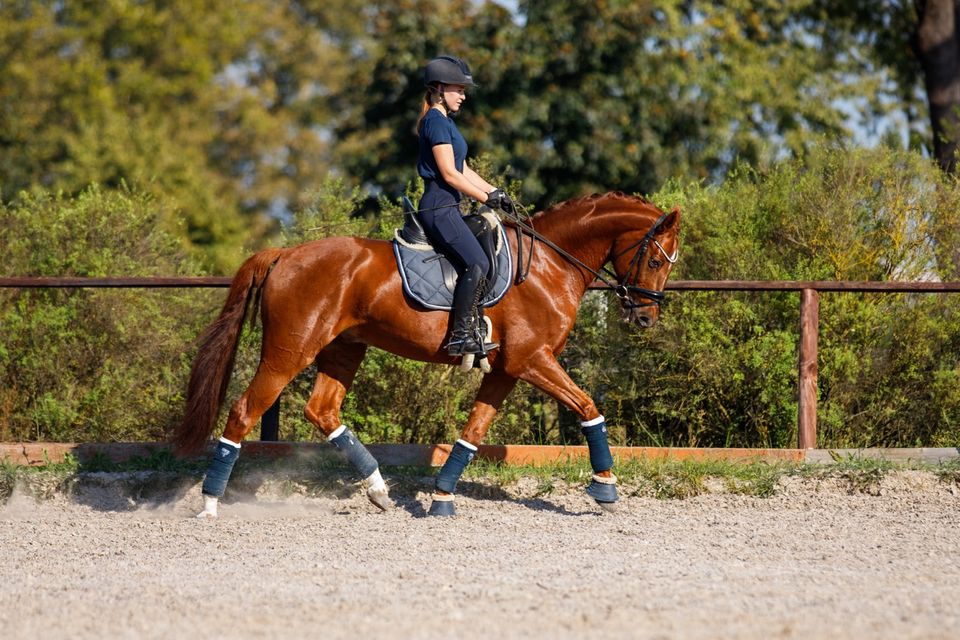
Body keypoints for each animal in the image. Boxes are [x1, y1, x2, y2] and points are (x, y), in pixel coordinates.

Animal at [174, 190, 684, 516]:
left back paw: (379, 490)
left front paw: (441, 497)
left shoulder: (506, 368)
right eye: (654, 259)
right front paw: (605, 487)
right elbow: (588, 407)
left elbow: (473, 431)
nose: (646, 319)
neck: (548, 264)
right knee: (244, 411)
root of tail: (284, 253)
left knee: (322, 410)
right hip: (289, 351)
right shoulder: (532, 360)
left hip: (343, 349)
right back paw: (210, 504)